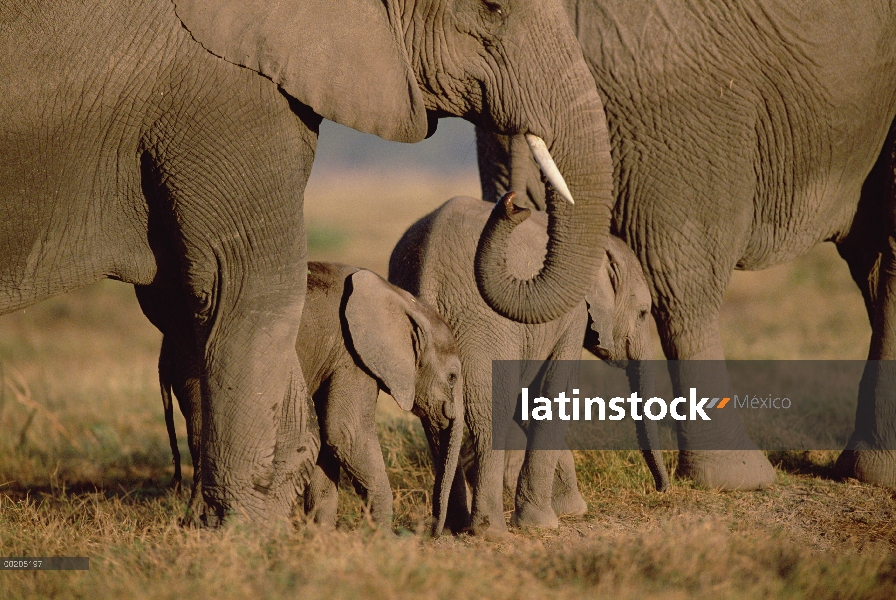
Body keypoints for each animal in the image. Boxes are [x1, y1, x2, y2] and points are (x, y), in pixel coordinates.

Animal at [153, 262, 462, 536]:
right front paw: (381, 538)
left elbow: (328, 438)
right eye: (452, 377)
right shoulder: (350, 353)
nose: (433, 532)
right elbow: (346, 432)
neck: (401, 299)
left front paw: (320, 536)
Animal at [388, 193, 668, 540]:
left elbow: (530, 402)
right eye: (643, 314)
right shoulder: (572, 317)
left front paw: (572, 510)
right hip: (485, 326)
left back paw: (454, 526)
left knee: (440, 420)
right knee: (489, 413)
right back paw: (490, 531)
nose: (662, 488)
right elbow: (551, 393)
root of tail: (428, 276)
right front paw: (546, 522)